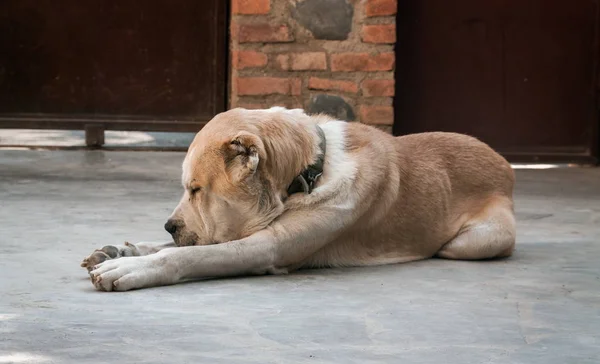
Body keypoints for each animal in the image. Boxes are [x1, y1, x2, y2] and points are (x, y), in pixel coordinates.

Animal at [81, 106, 516, 292]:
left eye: (196, 189)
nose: (169, 225)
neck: (309, 172)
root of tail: (505, 165)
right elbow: (175, 247)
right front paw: (124, 250)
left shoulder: (267, 247)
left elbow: (190, 256)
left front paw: (130, 268)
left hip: (475, 242)